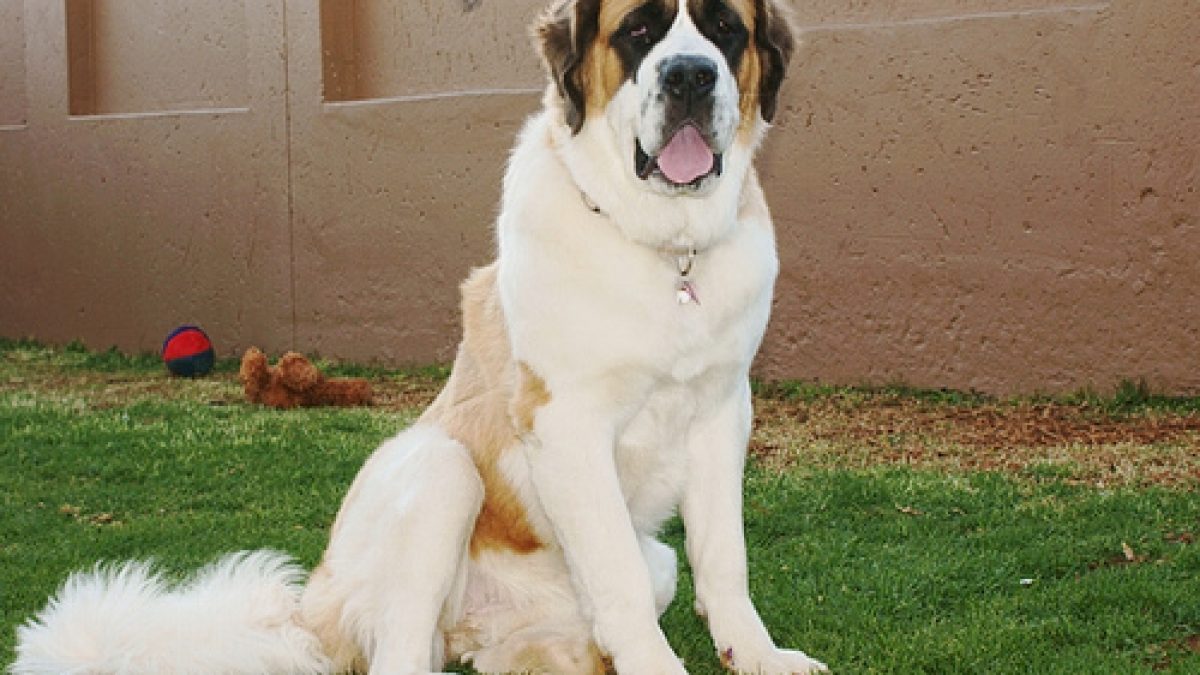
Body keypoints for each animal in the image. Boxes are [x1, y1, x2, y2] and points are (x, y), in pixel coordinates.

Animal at [14, 1, 830, 672]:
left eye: (725, 29)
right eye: (638, 31)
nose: (691, 74)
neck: (667, 251)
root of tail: (309, 610)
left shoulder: (722, 410)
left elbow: (723, 557)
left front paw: (758, 654)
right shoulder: (565, 423)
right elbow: (620, 582)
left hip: (612, 576)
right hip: (441, 472)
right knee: (404, 646)